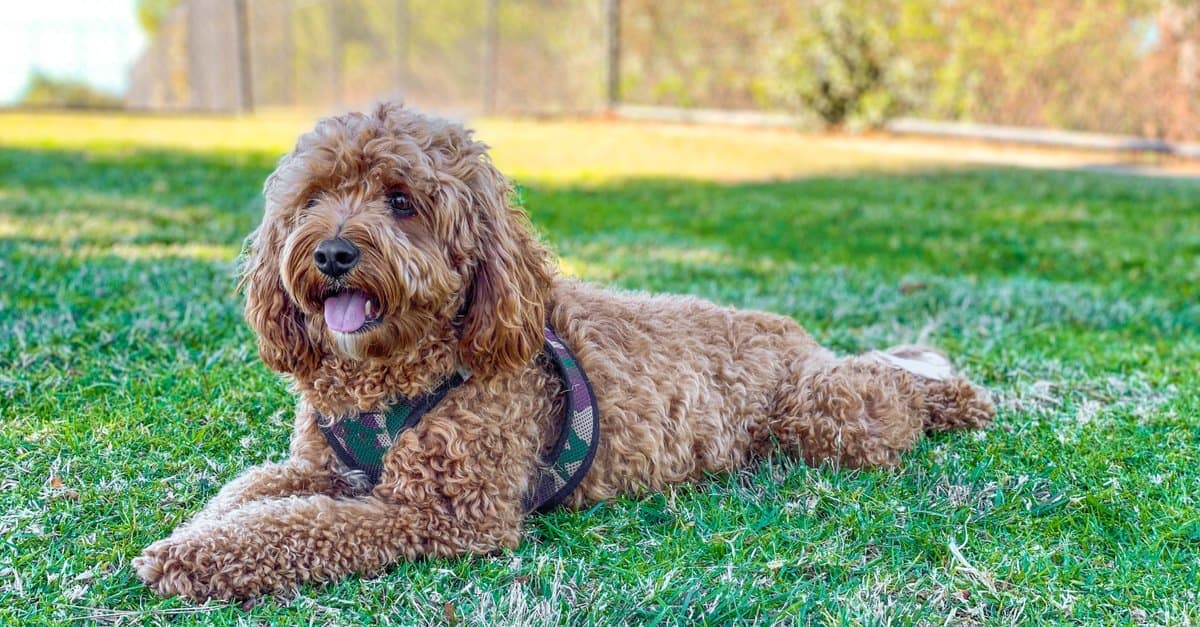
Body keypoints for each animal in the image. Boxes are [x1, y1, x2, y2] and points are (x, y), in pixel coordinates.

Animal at [133, 103, 993, 600]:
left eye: (402, 201)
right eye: (313, 198)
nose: (334, 252)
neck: (390, 375)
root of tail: (793, 333)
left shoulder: (443, 511)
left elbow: (296, 526)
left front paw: (189, 560)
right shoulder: (320, 465)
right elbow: (250, 495)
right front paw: (190, 535)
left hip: (828, 417)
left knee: (890, 391)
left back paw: (956, 395)